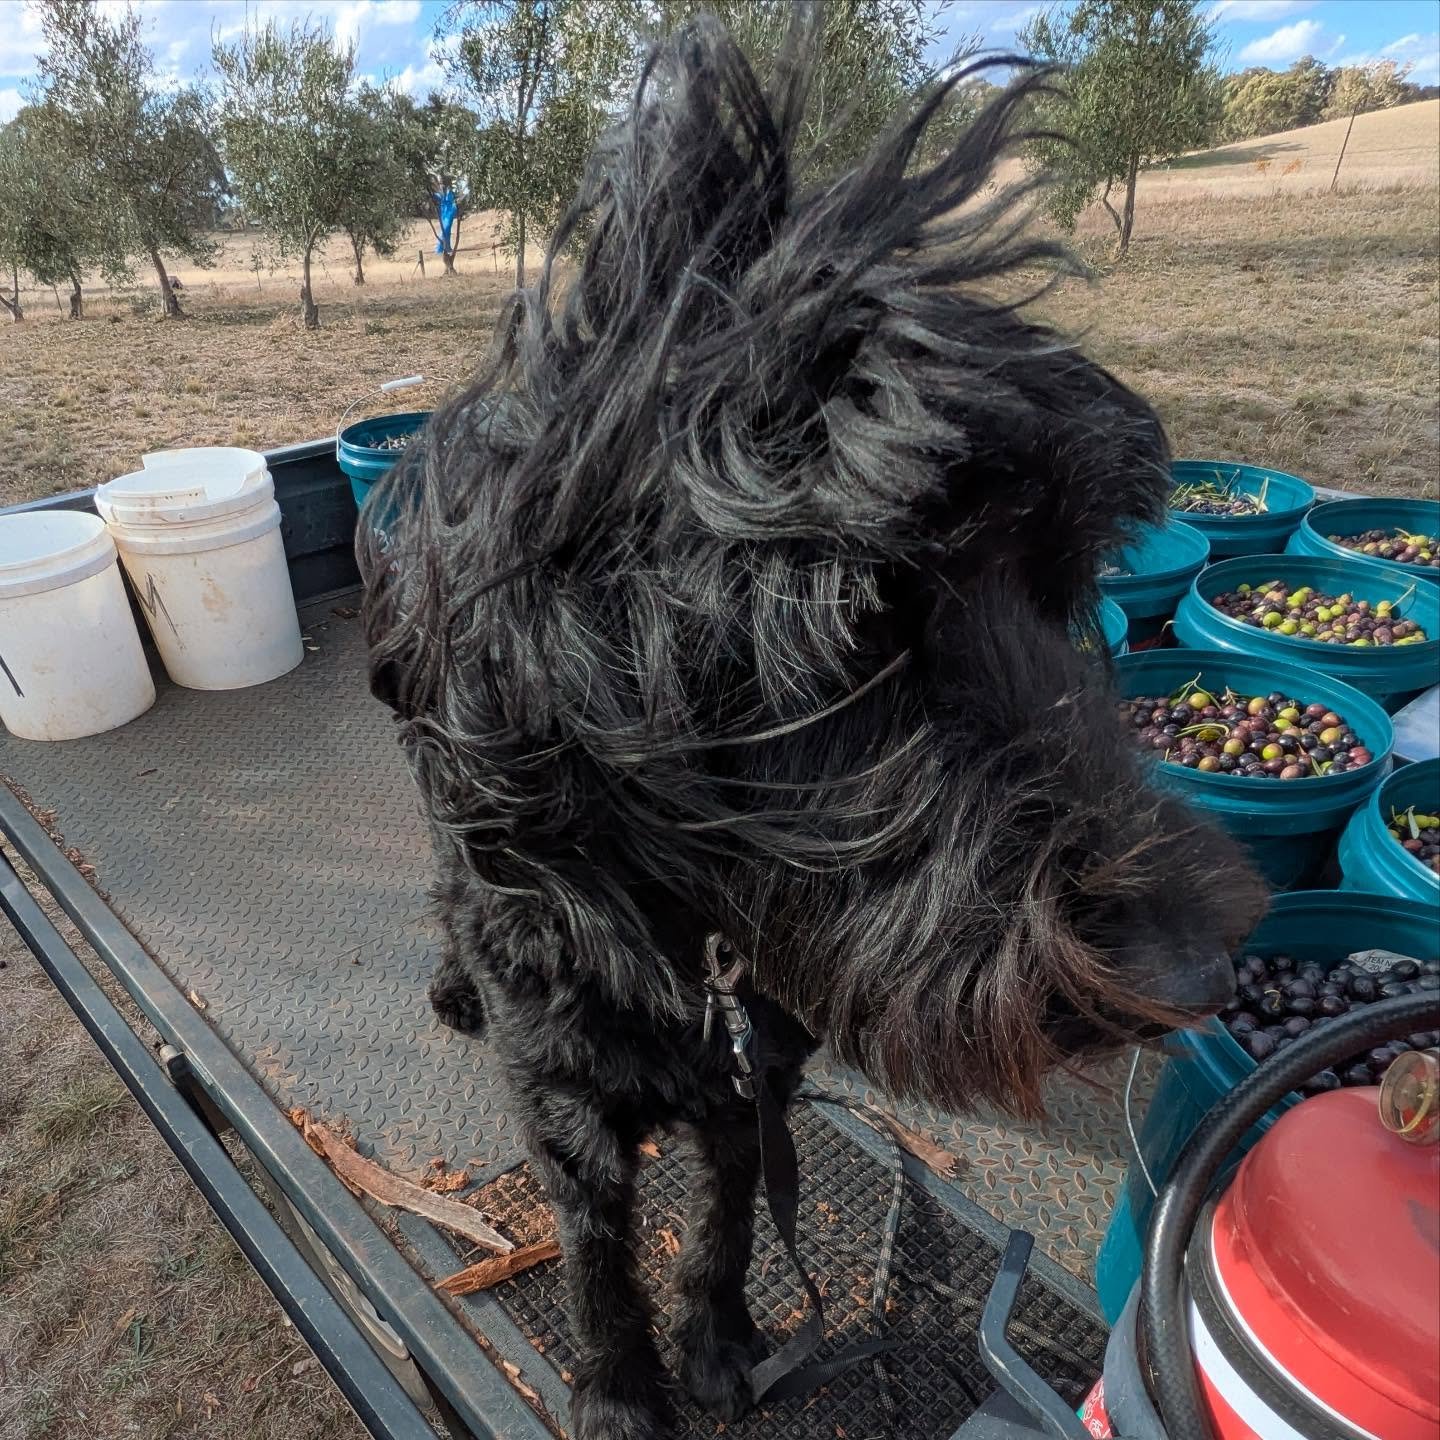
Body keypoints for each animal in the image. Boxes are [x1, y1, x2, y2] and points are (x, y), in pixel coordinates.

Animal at [361, 17, 1266, 1439]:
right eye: (857, 629)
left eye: (1063, 584)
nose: (1200, 974)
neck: (687, 936)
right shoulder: (563, 1087)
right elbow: (593, 1244)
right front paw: (619, 1387)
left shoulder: (761, 1067)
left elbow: (734, 1210)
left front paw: (724, 1336)